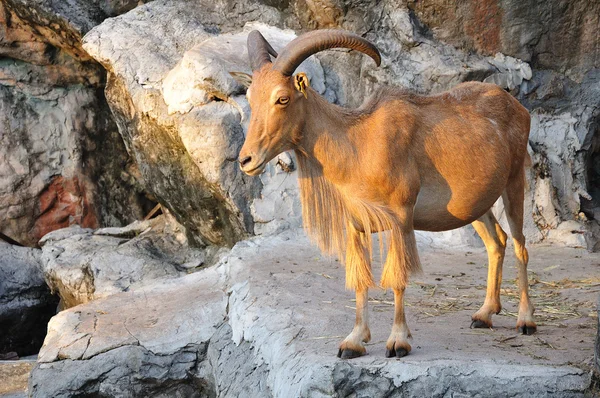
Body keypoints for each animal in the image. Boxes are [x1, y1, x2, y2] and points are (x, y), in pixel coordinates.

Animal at [232, 29, 536, 360]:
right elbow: (360, 279)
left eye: (282, 98)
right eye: (250, 99)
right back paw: (484, 314)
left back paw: (526, 321)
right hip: (476, 204)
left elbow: (397, 277)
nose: (246, 160)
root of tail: (518, 106)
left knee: (520, 245)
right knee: (497, 242)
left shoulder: (400, 217)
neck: (357, 144)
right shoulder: (356, 225)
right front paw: (353, 341)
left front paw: (398, 341)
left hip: (514, 181)